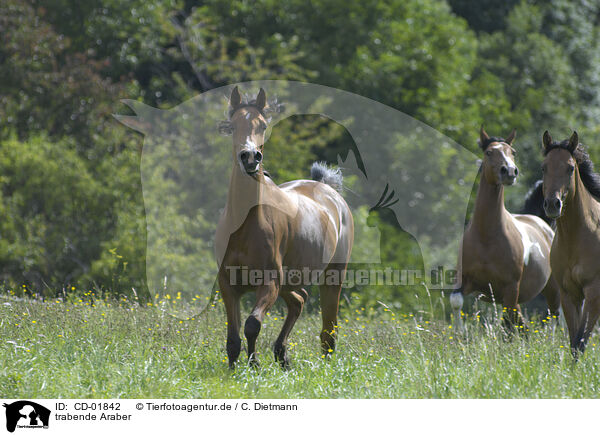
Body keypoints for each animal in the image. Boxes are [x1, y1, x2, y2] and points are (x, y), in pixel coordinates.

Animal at [216, 87, 354, 370]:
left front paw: (254, 365)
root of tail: (328, 189)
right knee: (299, 301)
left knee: (328, 329)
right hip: (290, 282)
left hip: (332, 277)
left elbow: (252, 324)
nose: (250, 157)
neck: (244, 225)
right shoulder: (227, 283)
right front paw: (234, 368)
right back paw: (282, 355)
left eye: (263, 125)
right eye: (232, 125)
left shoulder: (269, 282)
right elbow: (233, 337)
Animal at [450, 127, 564, 328]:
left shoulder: (511, 288)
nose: (510, 171)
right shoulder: (465, 281)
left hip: (552, 288)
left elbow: (510, 319)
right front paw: (459, 333)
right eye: (489, 152)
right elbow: (456, 302)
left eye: (513, 152)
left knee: (555, 315)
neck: (486, 236)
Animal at [540, 129, 600, 354]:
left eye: (570, 168)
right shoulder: (569, 295)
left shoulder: (593, 292)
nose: (552, 204)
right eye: (544, 167)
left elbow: (581, 341)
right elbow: (574, 342)